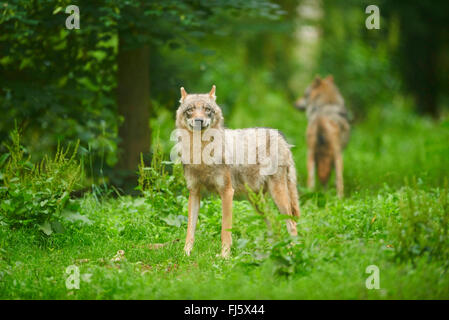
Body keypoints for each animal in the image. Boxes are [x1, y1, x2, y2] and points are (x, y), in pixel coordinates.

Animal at [175, 85, 300, 258]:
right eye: (190, 110)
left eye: (207, 109)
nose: (199, 120)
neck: (202, 153)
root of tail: (280, 136)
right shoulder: (194, 193)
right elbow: (190, 229)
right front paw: (186, 253)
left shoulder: (227, 192)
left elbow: (225, 230)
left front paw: (224, 256)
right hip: (257, 202)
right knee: (275, 224)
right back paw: (274, 251)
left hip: (278, 196)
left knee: (291, 223)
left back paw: (291, 252)